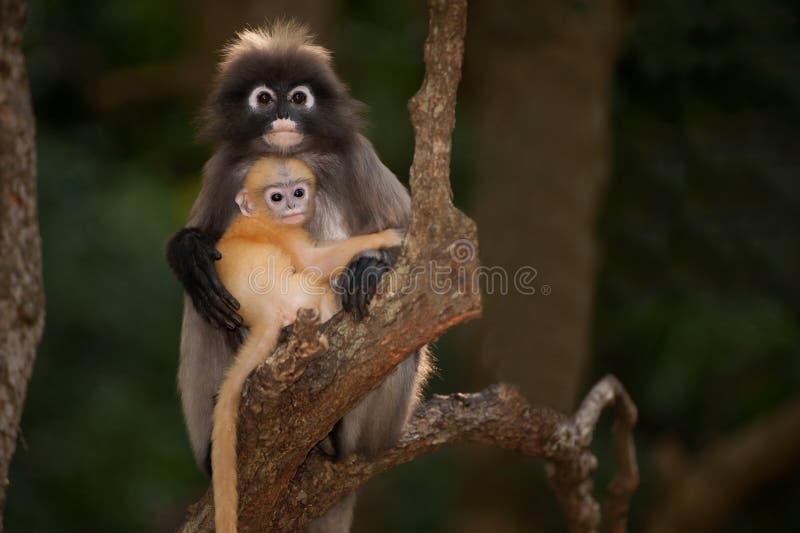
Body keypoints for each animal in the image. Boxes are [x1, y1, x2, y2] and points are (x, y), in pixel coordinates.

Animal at [212, 156, 404, 532]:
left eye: (298, 192)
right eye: (276, 197)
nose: (291, 206)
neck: (257, 218)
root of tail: (266, 316)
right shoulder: (285, 234)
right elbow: (316, 263)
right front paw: (386, 237)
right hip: (299, 296)